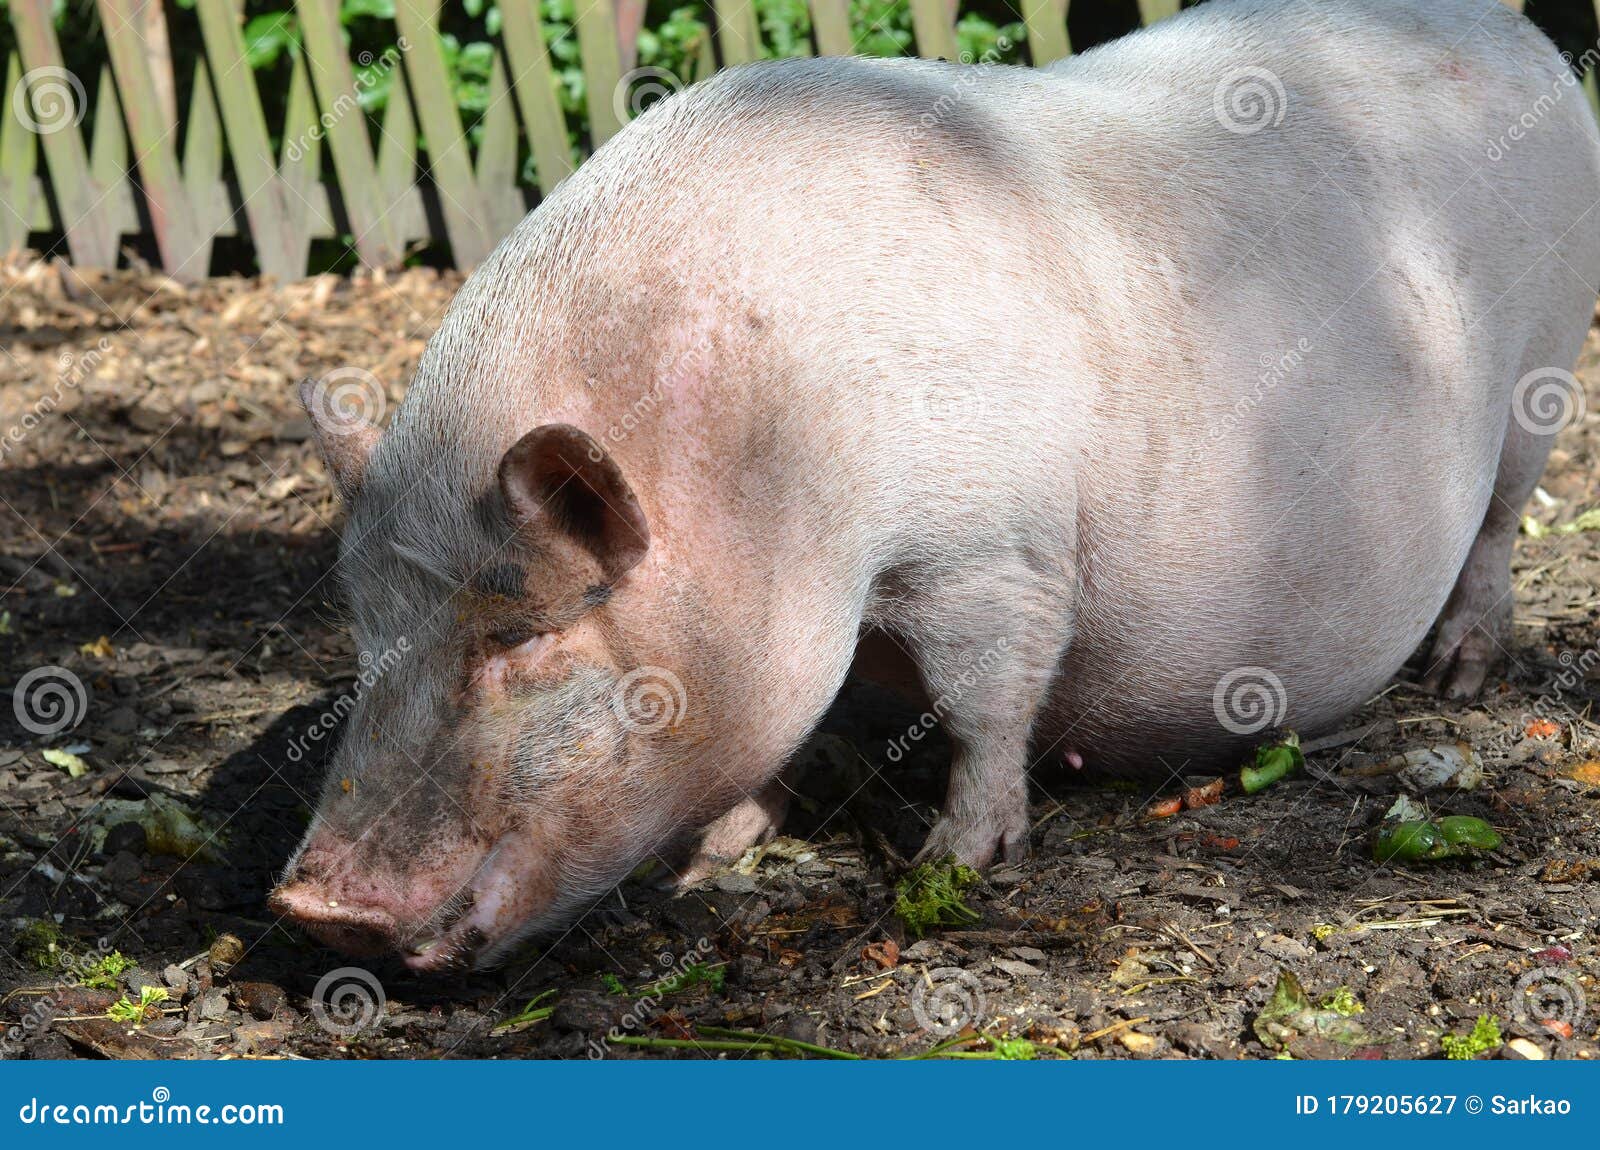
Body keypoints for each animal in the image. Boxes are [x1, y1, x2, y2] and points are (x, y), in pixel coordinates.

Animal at [270, 0, 1600, 970]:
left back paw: (1458, 674)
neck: (777, 469)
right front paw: (716, 856)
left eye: (523, 634)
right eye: (366, 633)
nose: (313, 910)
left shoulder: (984, 550)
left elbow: (982, 704)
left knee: (1498, 523)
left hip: (1541, 365)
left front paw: (951, 868)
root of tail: (1515, 32)